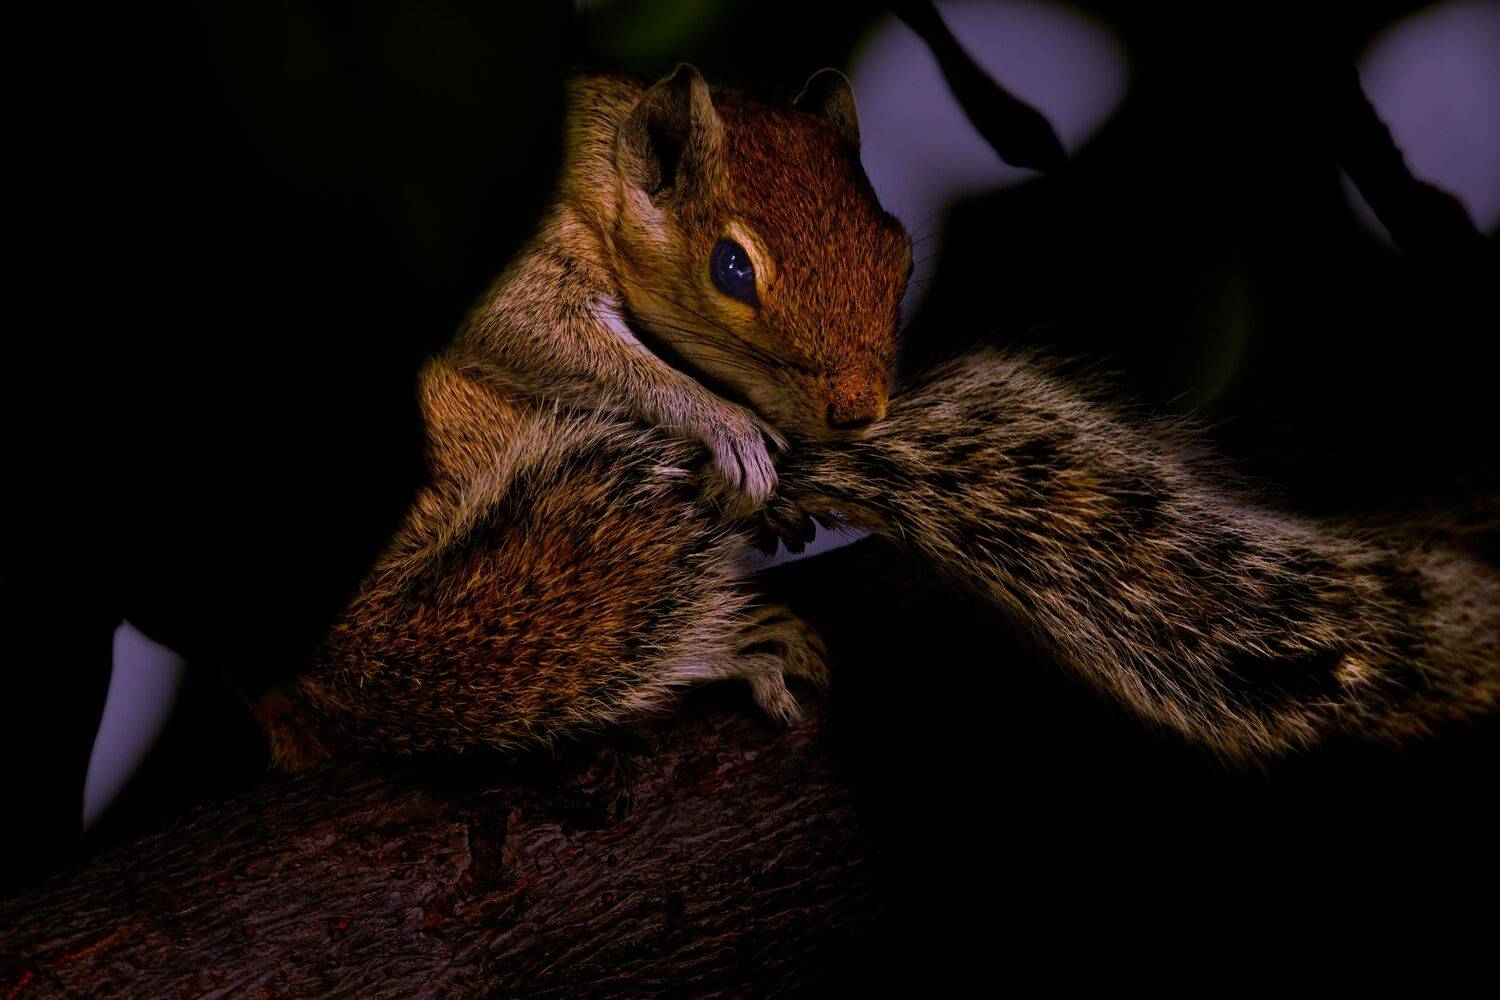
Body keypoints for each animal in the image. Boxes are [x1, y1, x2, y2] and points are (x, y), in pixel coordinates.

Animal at [257, 69, 1498, 768]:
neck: (601, 169)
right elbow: (537, 329)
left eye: (897, 251)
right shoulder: (513, 264)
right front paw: (718, 425)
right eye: (731, 268)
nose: (857, 411)